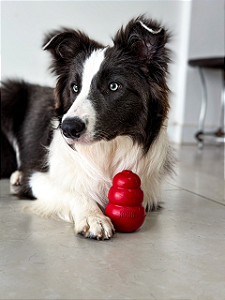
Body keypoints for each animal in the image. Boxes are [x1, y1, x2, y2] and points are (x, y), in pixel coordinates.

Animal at [0, 16, 172, 240]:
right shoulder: (37, 177)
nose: (67, 128)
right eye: (75, 87)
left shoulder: (151, 192)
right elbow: (73, 191)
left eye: (113, 86)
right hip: (10, 94)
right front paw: (93, 217)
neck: (107, 149)